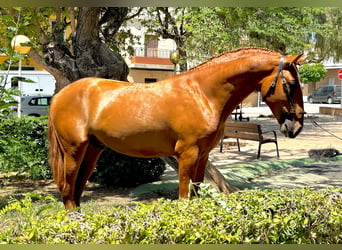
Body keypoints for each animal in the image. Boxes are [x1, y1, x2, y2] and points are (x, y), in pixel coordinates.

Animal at [48, 47, 304, 209]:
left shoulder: (202, 156)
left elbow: (197, 192)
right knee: (67, 189)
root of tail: (60, 95)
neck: (202, 93)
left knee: (77, 189)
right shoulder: (187, 154)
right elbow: (183, 196)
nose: (296, 126)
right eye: (291, 84)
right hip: (73, 149)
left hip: (93, 149)